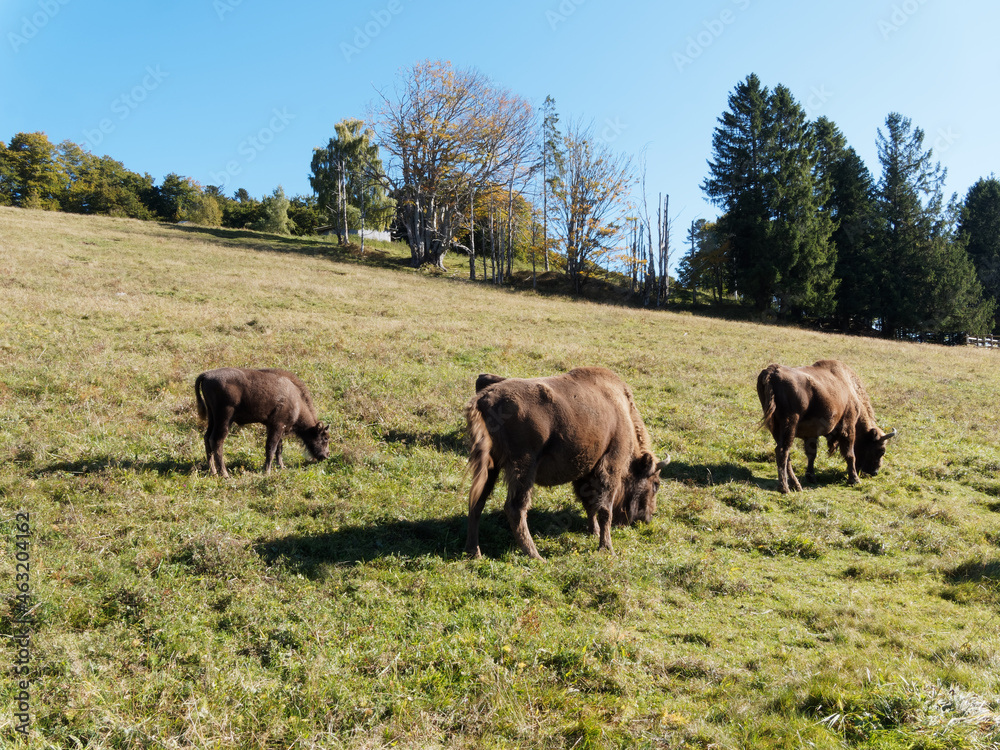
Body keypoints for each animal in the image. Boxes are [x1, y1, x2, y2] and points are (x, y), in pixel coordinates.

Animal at [196, 368, 332, 478]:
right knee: (217, 441)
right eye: (325, 438)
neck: (296, 401)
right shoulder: (277, 426)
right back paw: (224, 474)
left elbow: (279, 449)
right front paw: (267, 471)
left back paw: (213, 472)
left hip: (212, 418)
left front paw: (282, 467)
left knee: (207, 438)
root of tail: (206, 375)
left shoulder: (275, 428)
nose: (326, 455)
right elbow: (271, 448)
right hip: (224, 419)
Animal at [462, 368, 668, 560]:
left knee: (476, 502)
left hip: (491, 466)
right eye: (655, 484)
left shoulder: (587, 471)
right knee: (515, 508)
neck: (623, 413)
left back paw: (475, 552)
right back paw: (536, 555)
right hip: (524, 468)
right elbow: (604, 509)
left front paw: (593, 532)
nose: (646, 518)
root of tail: (484, 399)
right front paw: (607, 548)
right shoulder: (610, 466)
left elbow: (590, 504)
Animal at [756, 360, 900, 494]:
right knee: (782, 452)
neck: (851, 390)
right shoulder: (848, 427)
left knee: (786, 454)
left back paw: (796, 485)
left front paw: (811, 477)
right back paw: (785, 488)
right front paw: (854, 480)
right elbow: (850, 454)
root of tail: (771, 372)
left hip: (776, 428)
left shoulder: (811, 435)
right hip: (789, 424)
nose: (874, 472)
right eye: (881, 450)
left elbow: (812, 454)